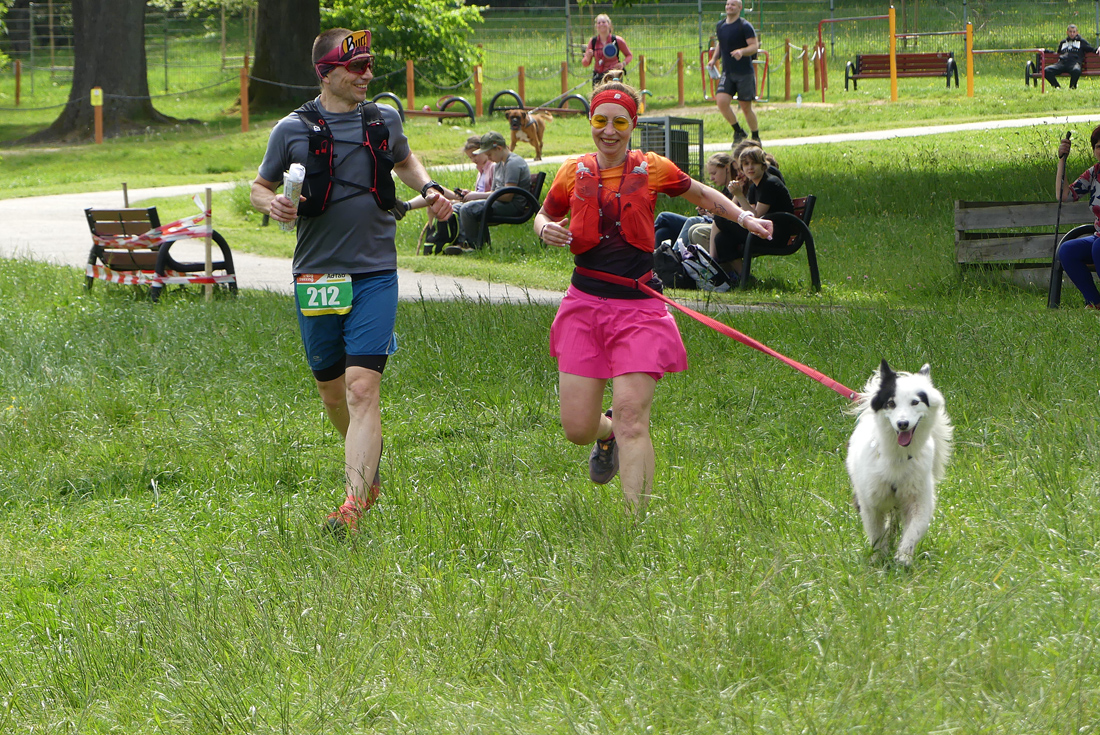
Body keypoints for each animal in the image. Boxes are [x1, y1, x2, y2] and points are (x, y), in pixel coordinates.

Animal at [845, 360, 953, 566]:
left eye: (915, 402)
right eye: (891, 403)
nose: (903, 424)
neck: (898, 456)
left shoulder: (919, 498)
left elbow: (914, 530)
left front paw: (903, 557)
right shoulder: (870, 502)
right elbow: (876, 534)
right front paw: (879, 558)